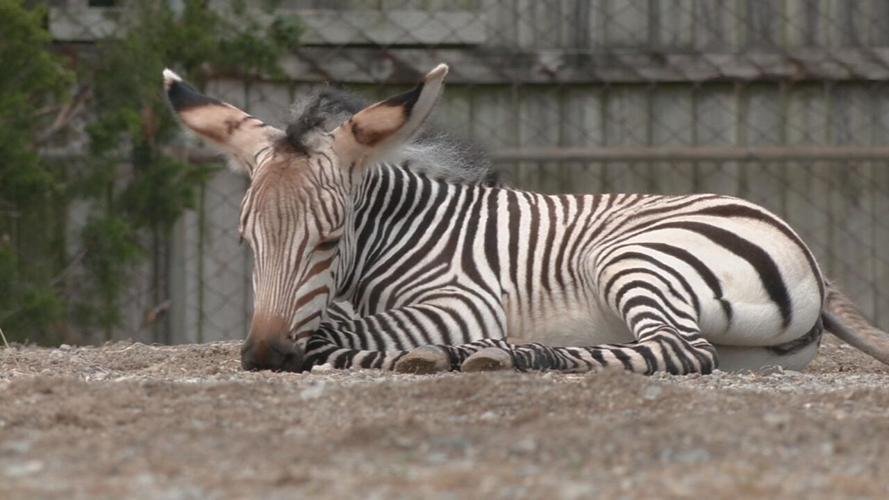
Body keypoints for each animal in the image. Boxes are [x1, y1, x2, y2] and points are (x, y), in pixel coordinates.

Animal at [163, 64, 889, 375]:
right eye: (245, 241)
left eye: (330, 239)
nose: (263, 357)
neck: (399, 235)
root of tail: (811, 257)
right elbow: (328, 326)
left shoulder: (462, 300)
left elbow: (331, 336)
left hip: (632, 257)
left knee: (678, 351)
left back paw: (503, 354)